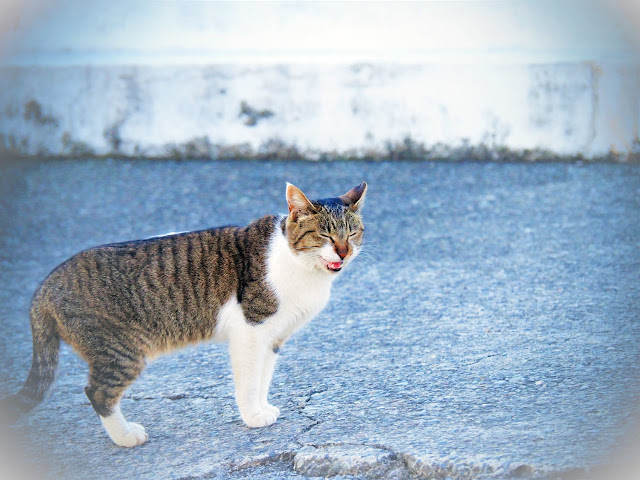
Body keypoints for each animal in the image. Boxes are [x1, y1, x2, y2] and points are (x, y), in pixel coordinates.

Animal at [2, 181, 368, 446]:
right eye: (324, 234)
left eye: (351, 232)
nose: (343, 251)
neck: (302, 269)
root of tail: (47, 282)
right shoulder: (250, 331)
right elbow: (249, 381)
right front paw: (253, 416)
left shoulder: (274, 337)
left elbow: (263, 379)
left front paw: (263, 408)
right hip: (122, 351)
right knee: (98, 392)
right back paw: (125, 436)